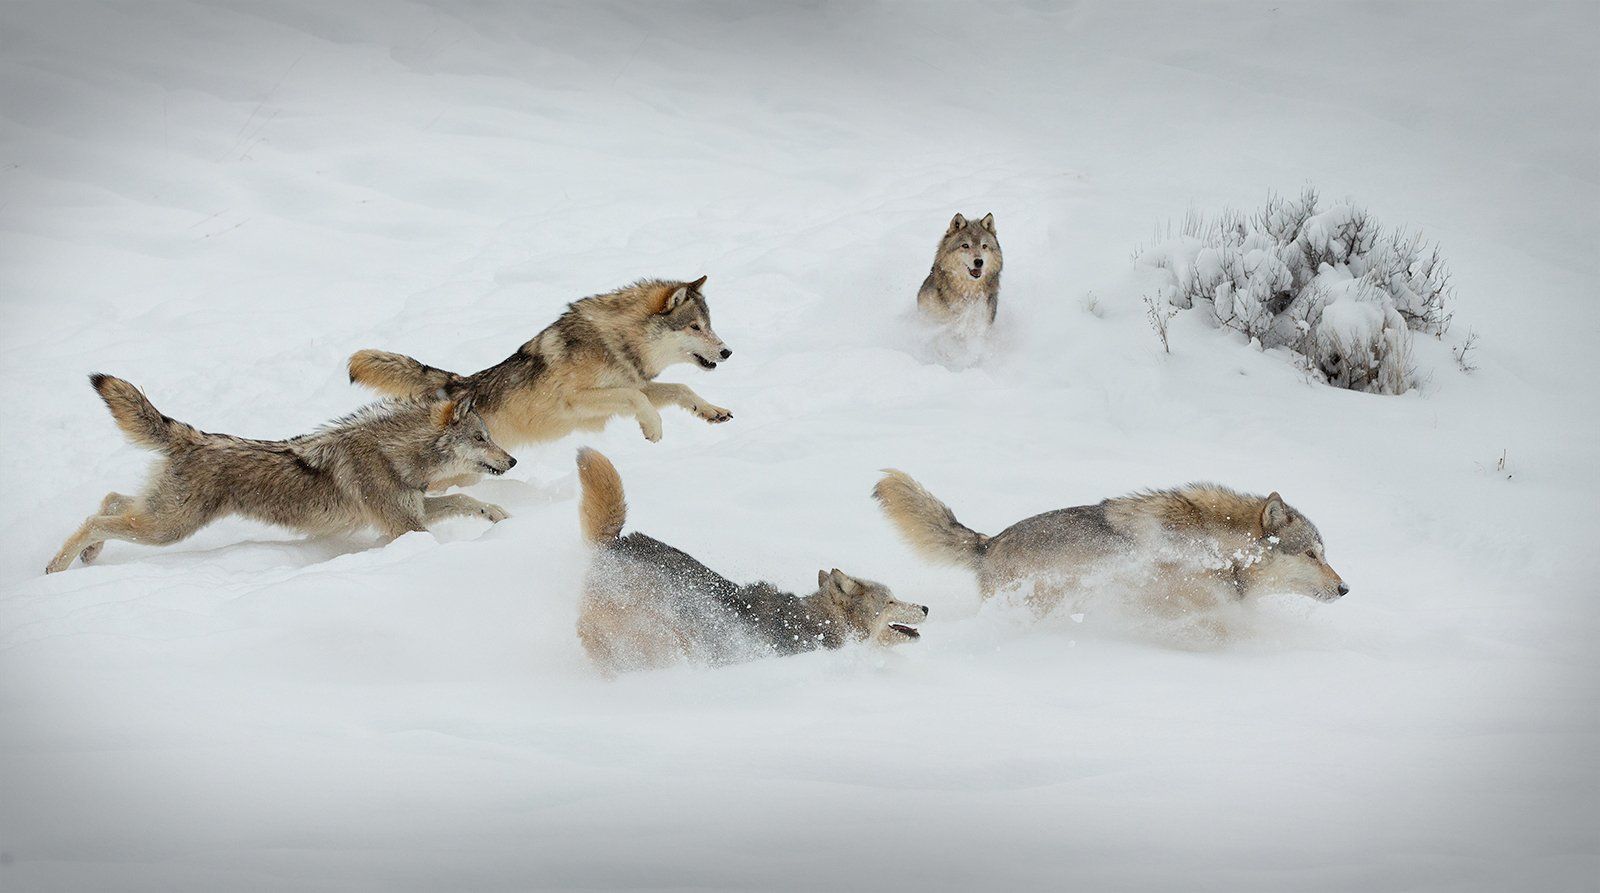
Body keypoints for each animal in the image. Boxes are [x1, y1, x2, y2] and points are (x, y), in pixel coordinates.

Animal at [46, 375, 515, 573]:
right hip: (169, 527)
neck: (393, 454)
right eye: (481, 438)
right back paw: (56, 566)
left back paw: (89, 557)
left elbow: (465, 499)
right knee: (96, 518)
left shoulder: (414, 511)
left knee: (110, 500)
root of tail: (191, 437)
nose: (512, 461)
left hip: (160, 516)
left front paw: (501, 517)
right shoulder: (405, 527)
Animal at [348, 276, 732, 488]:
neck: (616, 340)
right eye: (694, 327)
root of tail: (458, 384)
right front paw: (653, 428)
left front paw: (713, 412)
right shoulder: (580, 400)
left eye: (709, 325)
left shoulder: (634, 384)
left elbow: (680, 389)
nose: (727, 351)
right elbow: (639, 400)